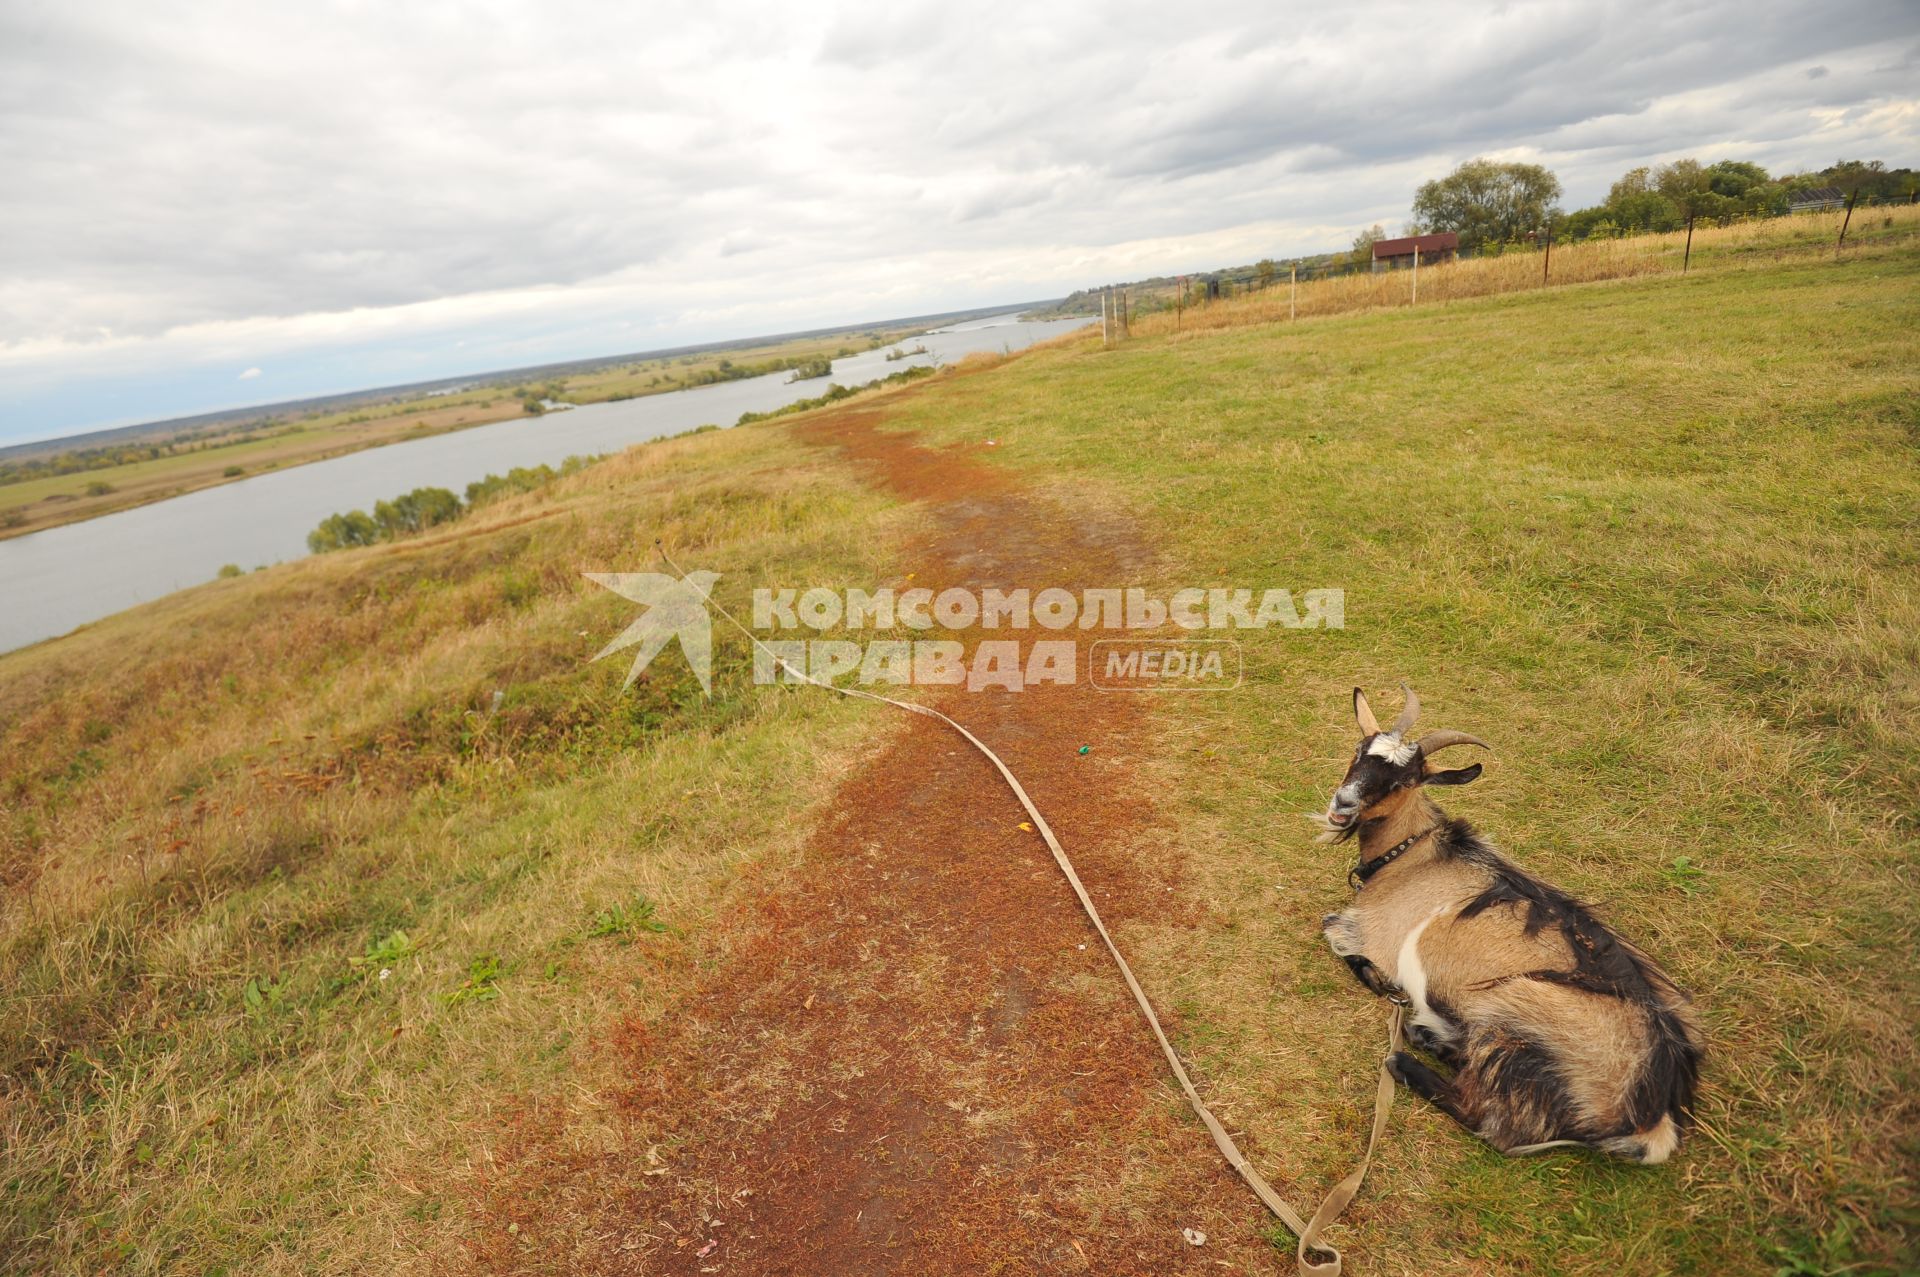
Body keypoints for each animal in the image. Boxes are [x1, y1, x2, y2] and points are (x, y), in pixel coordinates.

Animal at [1313, 691, 1704, 1159]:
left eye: (1403, 781)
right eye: (1359, 752)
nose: (1342, 804)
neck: (1412, 854)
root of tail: (1653, 1119)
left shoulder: (1372, 931)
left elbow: (1331, 929)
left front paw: (1376, 980)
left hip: (1511, 1010)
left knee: (1489, 1119)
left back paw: (1406, 1058)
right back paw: (1429, 1037)